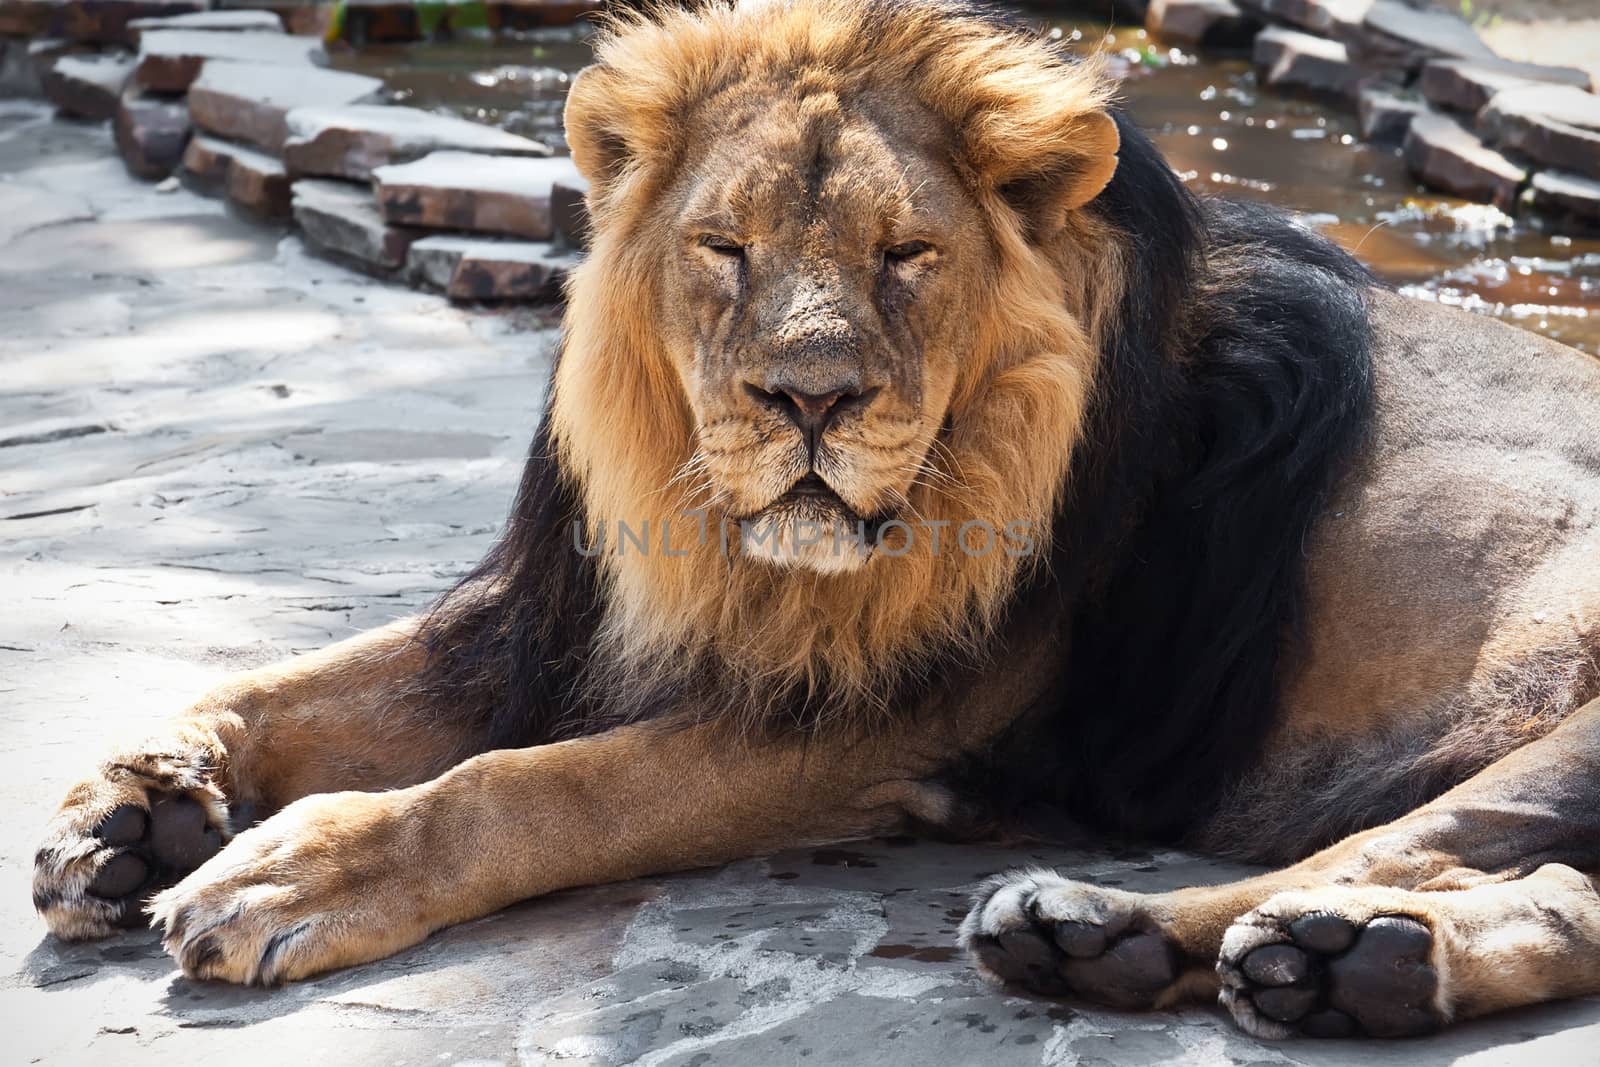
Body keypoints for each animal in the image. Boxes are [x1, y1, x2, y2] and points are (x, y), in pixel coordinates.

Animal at [31, 0, 1600, 1043]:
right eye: (724, 249)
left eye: (907, 255)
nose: (809, 398)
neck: (727, 549)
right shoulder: (554, 620)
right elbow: (286, 681)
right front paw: (134, 802)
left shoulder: (895, 717)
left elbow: (536, 786)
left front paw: (296, 865)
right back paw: (1342, 965)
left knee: (1395, 847)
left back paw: (1128, 929)